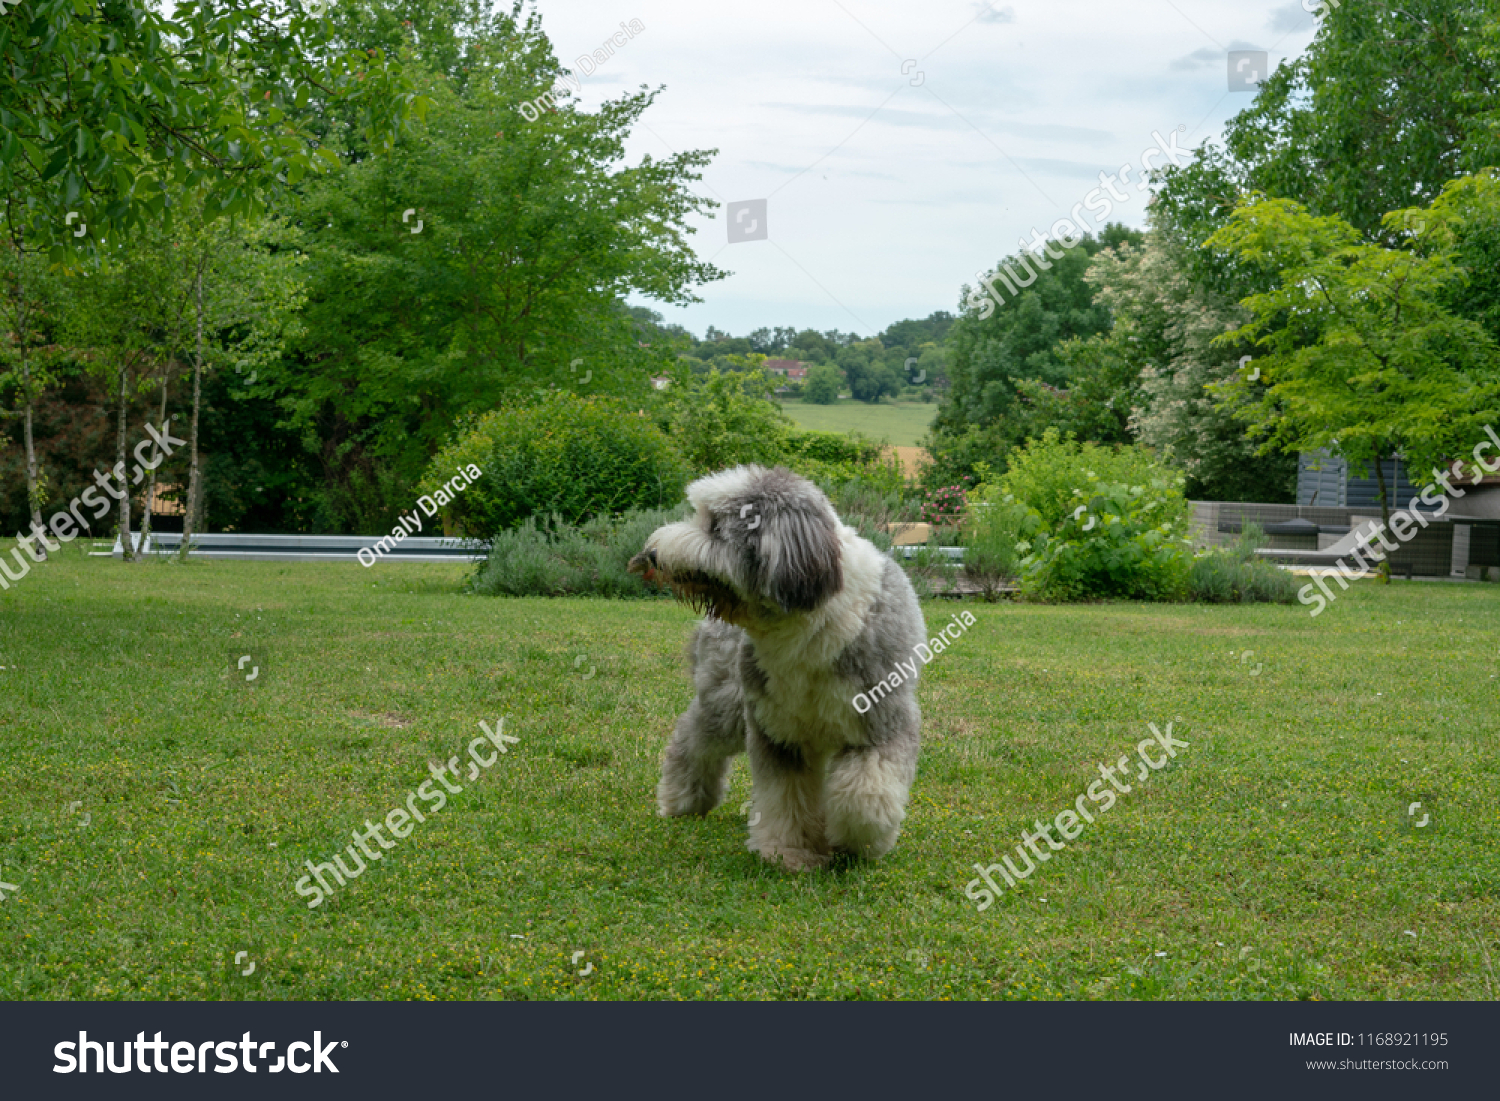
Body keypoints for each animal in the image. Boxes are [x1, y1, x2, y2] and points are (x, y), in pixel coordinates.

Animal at [624, 465, 924, 870]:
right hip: (727, 702)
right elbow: (785, 796)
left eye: (715, 525)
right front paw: (789, 852)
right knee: (691, 740)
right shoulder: (778, 729)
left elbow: (864, 794)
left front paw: (853, 841)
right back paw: (681, 800)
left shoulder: (882, 720)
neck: (808, 621)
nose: (653, 554)